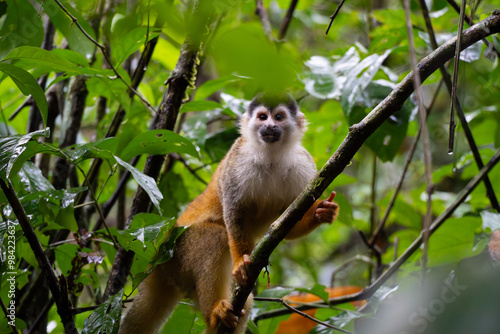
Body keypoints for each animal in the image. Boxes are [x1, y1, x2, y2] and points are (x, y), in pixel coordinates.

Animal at [119, 94, 340, 334]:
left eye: (279, 117)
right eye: (263, 117)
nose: (269, 126)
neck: (271, 155)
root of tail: (156, 266)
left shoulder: (303, 165)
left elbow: (287, 222)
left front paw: (321, 212)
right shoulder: (237, 158)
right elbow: (234, 212)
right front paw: (241, 261)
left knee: (244, 300)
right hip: (177, 252)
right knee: (214, 238)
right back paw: (215, 313)